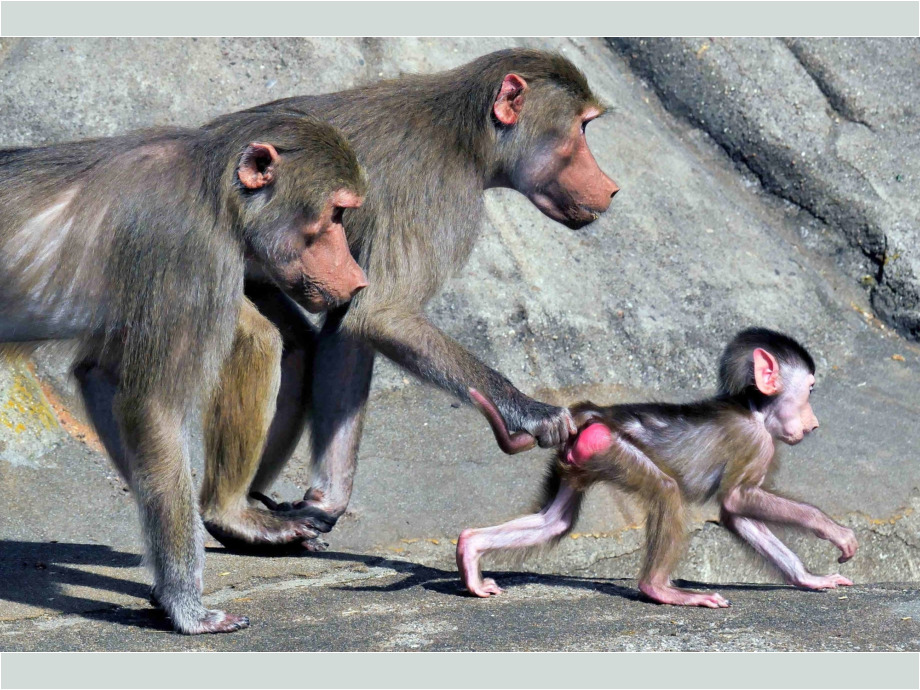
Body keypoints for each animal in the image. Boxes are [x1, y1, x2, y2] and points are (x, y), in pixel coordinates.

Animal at [0, 114, 368, 633]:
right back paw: (228, 511)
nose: (358, 280)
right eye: (336, 214)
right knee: (254, 339)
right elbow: (152, 407)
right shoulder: (188, 254)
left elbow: (101, 375)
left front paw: (167, 577)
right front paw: (185, 601)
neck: (215, 192)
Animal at [183, 48, 621, 551]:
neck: (466, 137)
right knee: (259, 340)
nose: (611, 187)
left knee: (296, 347)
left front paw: (325, 502)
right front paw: (532, 412)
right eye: (582, 128)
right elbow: (382, 316)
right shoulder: (439, 197)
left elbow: (350, 331)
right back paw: (228, 516)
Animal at [457, 328, 859, 608]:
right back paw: (659, 589)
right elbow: (738, 498)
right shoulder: (756, 443)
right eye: (809, 391)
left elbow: (736, 513)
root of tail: (591, 412)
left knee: (554, 522)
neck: (757, 411)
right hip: (607, 445)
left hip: (578, 459)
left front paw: (809, 579)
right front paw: (831, 529)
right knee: (666, 490)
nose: (814, 423)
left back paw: (470, 547)